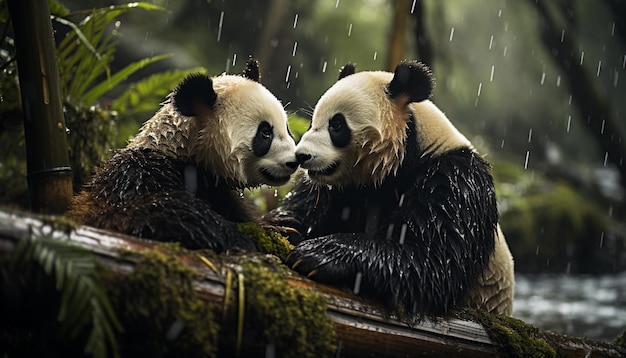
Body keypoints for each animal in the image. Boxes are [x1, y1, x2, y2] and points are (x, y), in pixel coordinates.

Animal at [68, 58, 298, 253]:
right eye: (265, 133)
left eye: (287, 128)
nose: (294, 162)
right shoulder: (138, 176)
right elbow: (153, 210)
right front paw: (239, 239)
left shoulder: (218, 191)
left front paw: (280, 226)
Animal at [272, 60, 512, 316]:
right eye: (313, 121)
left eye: (336, 125)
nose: (302, 156)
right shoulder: (343, 187)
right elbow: (309, 206)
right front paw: (283, 224)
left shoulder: (454, 180)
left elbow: (431, 259)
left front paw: (320, 254)